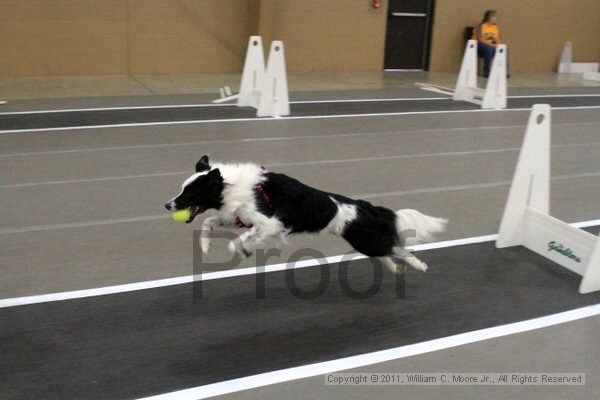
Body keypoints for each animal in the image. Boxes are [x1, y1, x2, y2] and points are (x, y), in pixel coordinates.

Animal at [166, 155, 448, 274]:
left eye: (189, 193)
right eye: (182, 190)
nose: (168, 205)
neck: (230, 185)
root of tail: (365, 207)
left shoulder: (269, 223)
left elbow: (236, 243)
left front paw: (243, 250)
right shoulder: (237, 217)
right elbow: (208, 221)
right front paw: (205, 246)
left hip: (365, 239)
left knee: (397, 248)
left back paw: (418, 265)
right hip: (363, 242)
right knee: (386, 253)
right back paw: (396, 268)